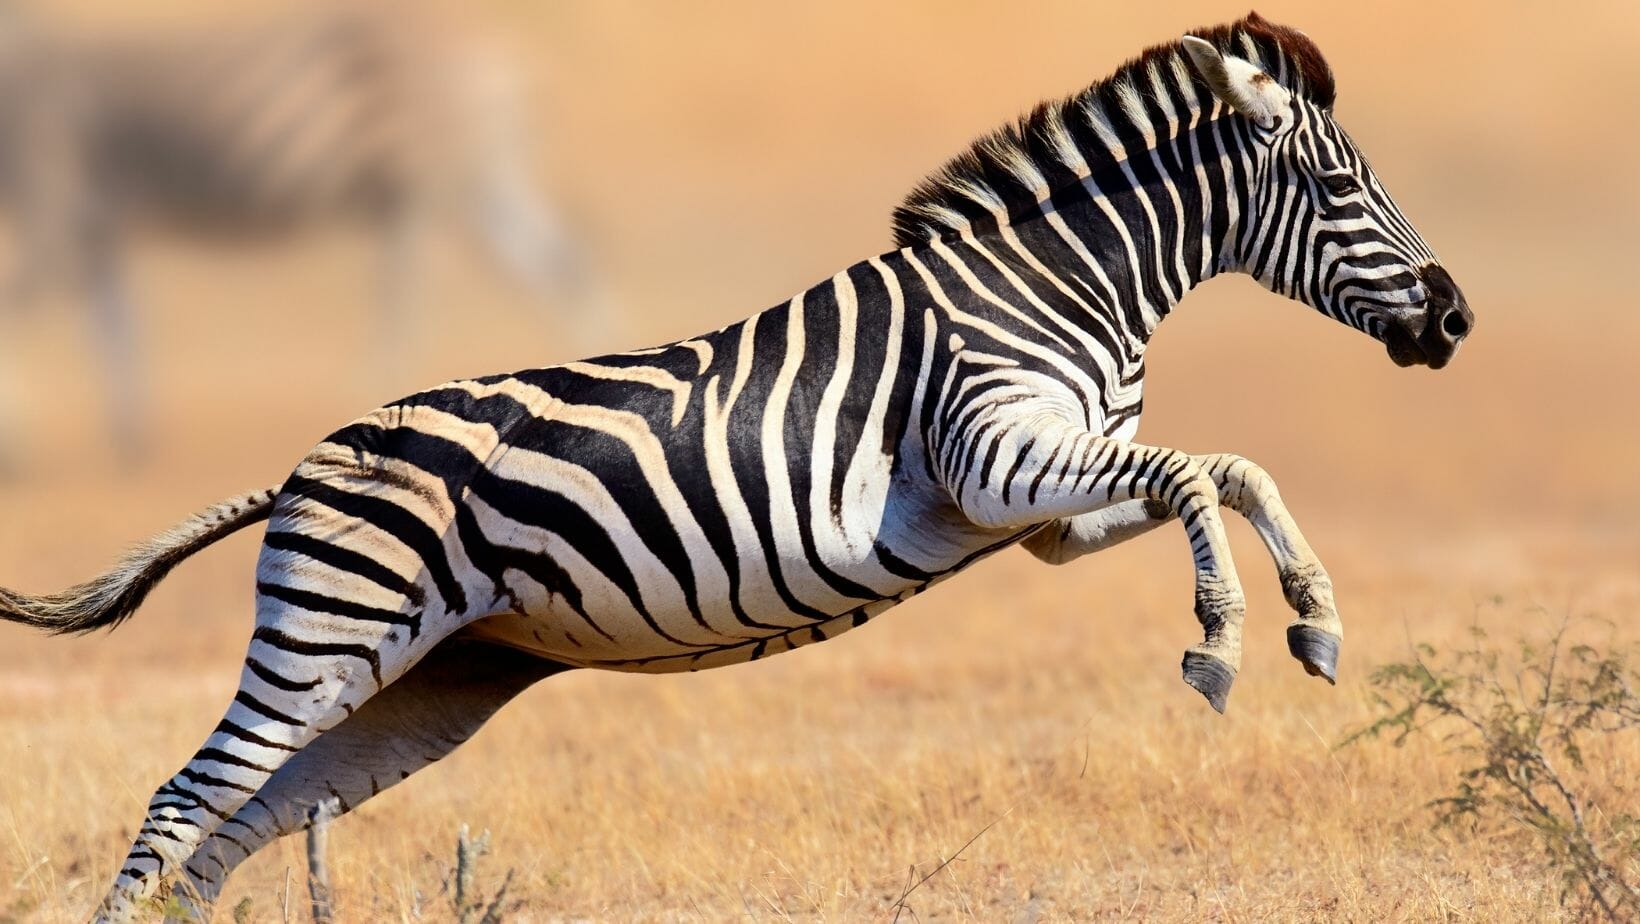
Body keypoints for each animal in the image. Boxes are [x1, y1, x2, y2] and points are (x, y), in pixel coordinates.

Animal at [0, 3, 588, 461]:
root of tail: (497, 58)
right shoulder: (96, 229)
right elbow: (115, 331)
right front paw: (133, 441)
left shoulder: (55, 207)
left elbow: (27, 311)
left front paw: (18, 443)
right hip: (480, 185)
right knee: (563, 268)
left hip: (420, 190)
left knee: (405, 302)